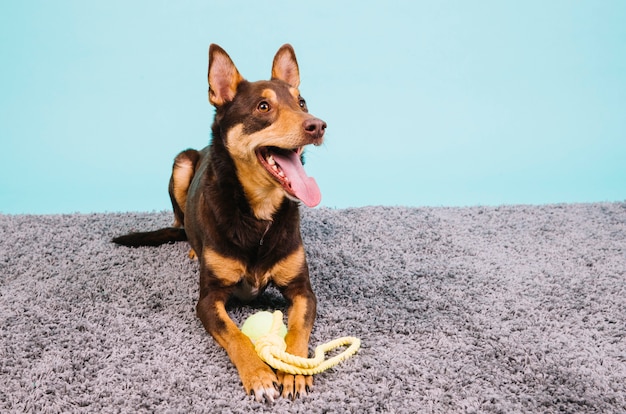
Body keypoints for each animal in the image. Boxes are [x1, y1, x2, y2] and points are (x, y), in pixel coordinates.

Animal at [111, 44, 324, 402]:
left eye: (302, 102)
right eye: (263, 106)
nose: (319, 126)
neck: (258, 216)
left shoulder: (302, 291)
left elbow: (297, 329)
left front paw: (294, 369)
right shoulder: (208, 300)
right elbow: (236, 335)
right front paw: (259, 375)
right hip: (181, 162)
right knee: (180, 221)